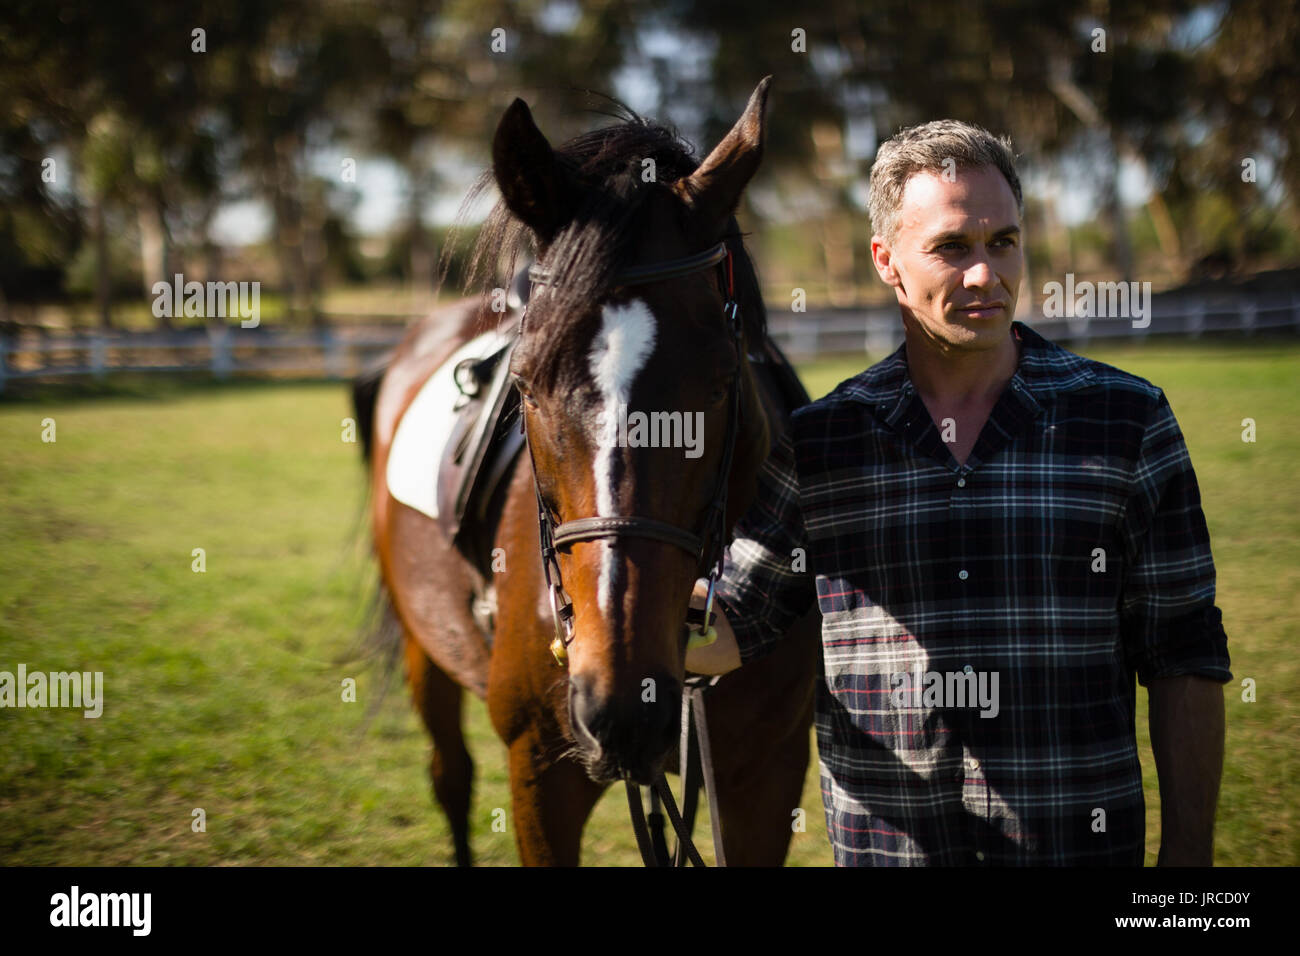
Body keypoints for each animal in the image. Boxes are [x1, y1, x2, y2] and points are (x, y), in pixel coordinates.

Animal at [354, 77, 820, 866]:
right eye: (527, 383)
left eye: (723, 381)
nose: (625, 707)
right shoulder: (541, 776)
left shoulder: (768, 773)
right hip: (426, 648)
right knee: (450, 776)